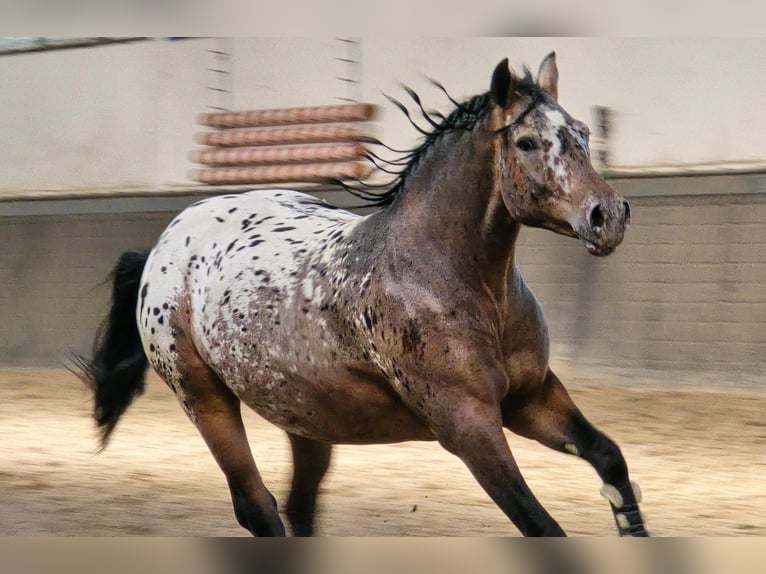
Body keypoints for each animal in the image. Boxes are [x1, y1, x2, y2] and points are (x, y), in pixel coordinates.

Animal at [74, 52, 647, 537]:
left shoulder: (531, 398)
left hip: (302, 415)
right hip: (203, 398)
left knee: (299, 508)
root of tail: (164, 246)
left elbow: (610, 458)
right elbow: (542, 526)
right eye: (527, 142)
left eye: (583, 132)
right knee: (258, 509)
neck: (456, 281)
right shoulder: (468, 425)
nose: (608, 215)